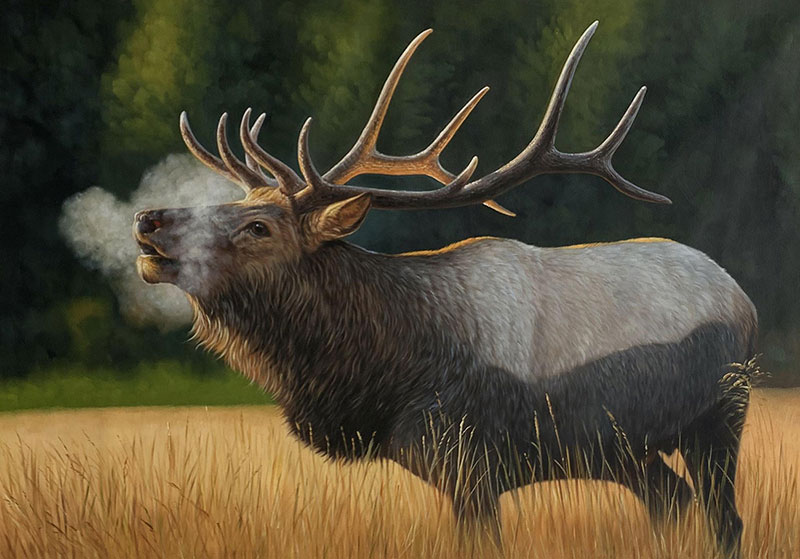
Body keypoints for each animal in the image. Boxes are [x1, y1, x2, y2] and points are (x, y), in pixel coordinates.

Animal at [133, 22, 757, 558]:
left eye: (259, 226)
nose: (148, 218)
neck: (385, 371)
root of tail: (743, 299)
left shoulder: (471, 463)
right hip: (624, 449)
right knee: (670, 501)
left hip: (720, 416)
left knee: (724, 517)